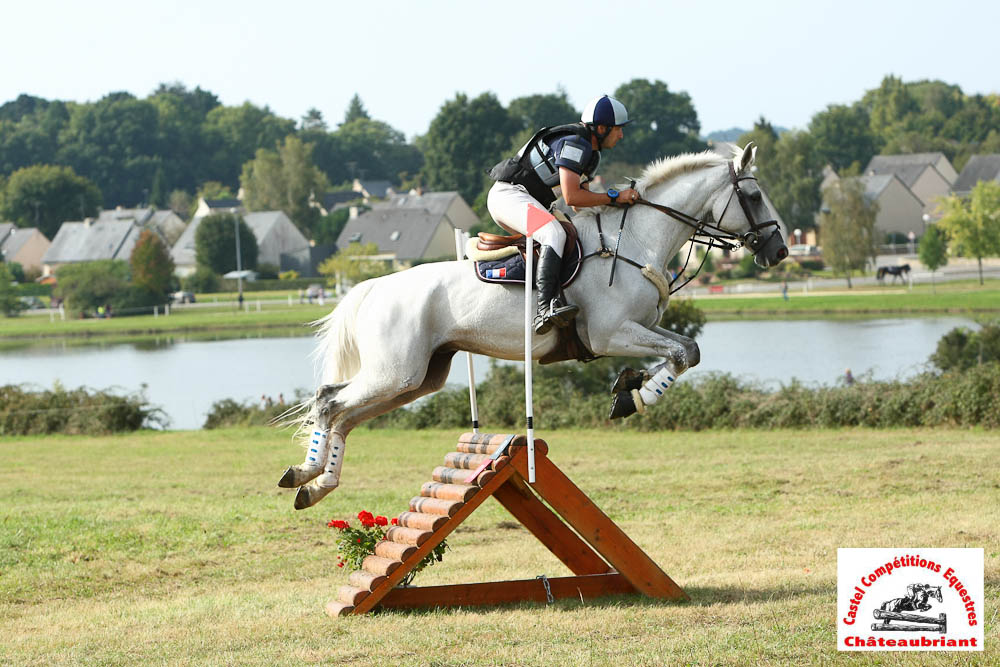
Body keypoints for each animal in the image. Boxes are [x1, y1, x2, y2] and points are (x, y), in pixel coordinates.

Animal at [278, 144, 784, 508]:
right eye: (754, 196)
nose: (778, 251)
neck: (634, 242)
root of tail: (372, 288)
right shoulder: (610, 333)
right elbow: (680, 353)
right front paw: (630, 395)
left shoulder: (637, 328)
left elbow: (687, 351)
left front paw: (629, 389)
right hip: (395, 372)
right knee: (329, 403)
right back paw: (309, 476)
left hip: (419, 378)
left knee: (343, 414)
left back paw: (314, 483)